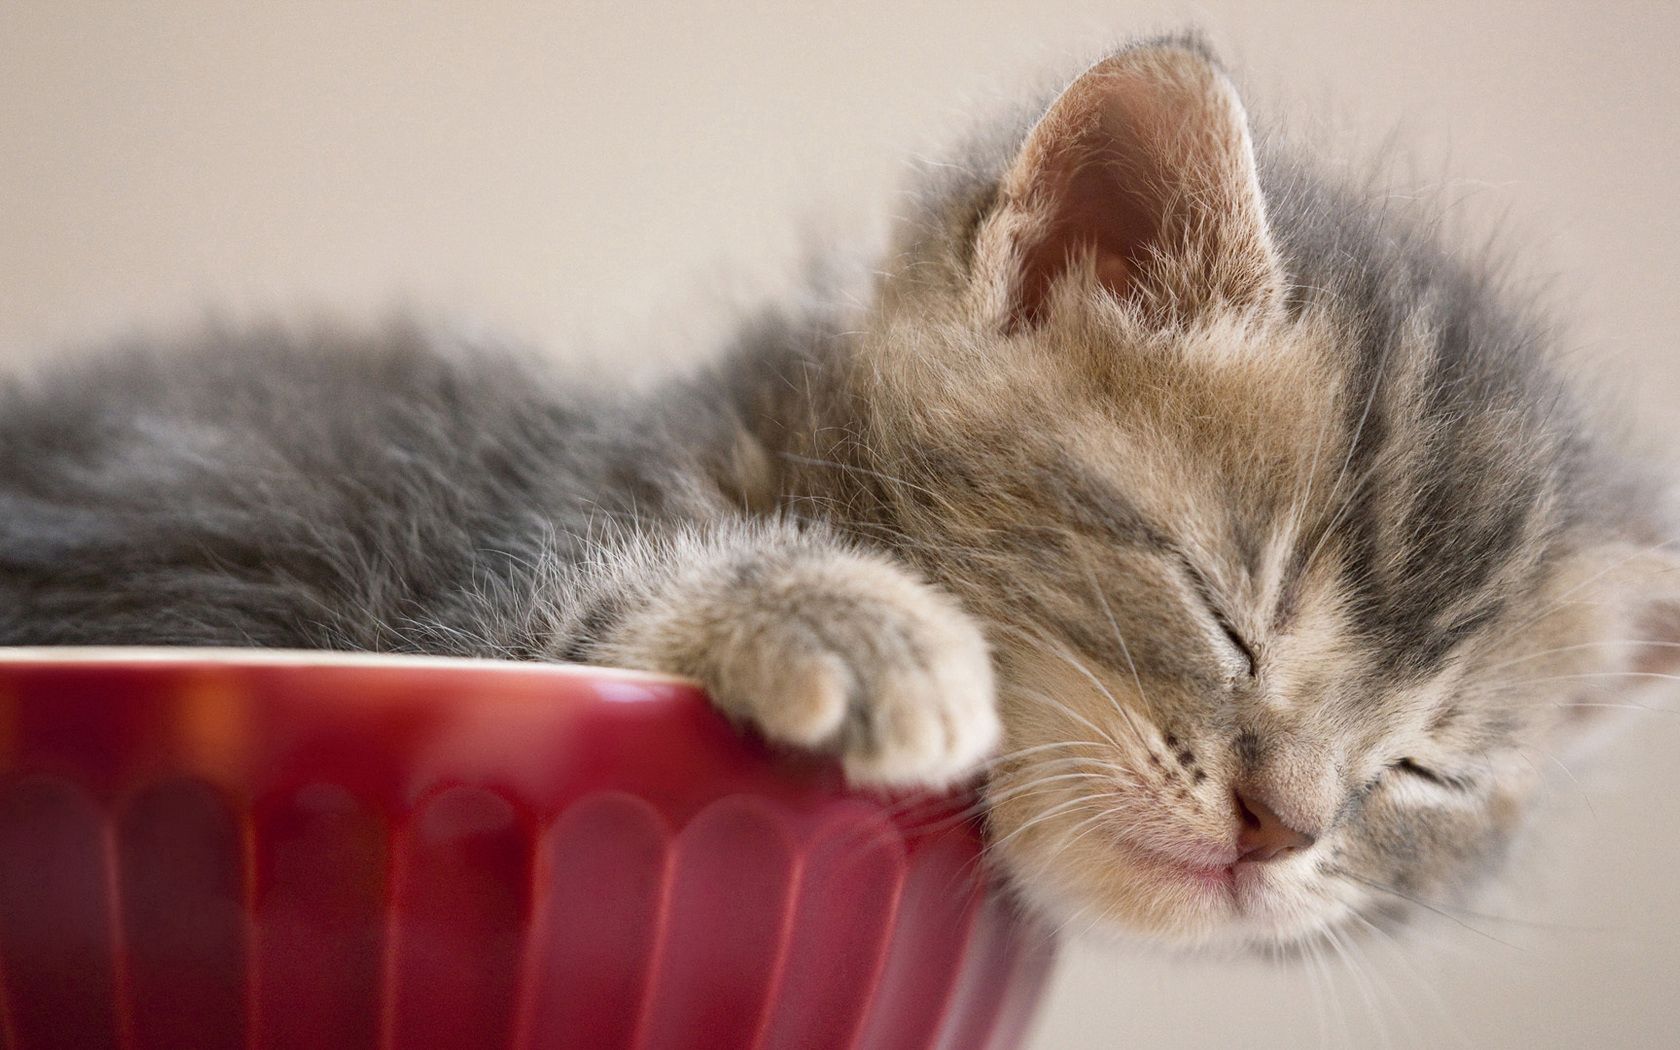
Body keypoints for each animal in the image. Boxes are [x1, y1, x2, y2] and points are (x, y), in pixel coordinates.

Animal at [3, 36, 1680, 947]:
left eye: (1428, 769)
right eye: (1221, 608)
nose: (1285, 829)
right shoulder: (447, 587)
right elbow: (568, 610)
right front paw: (849, 622)